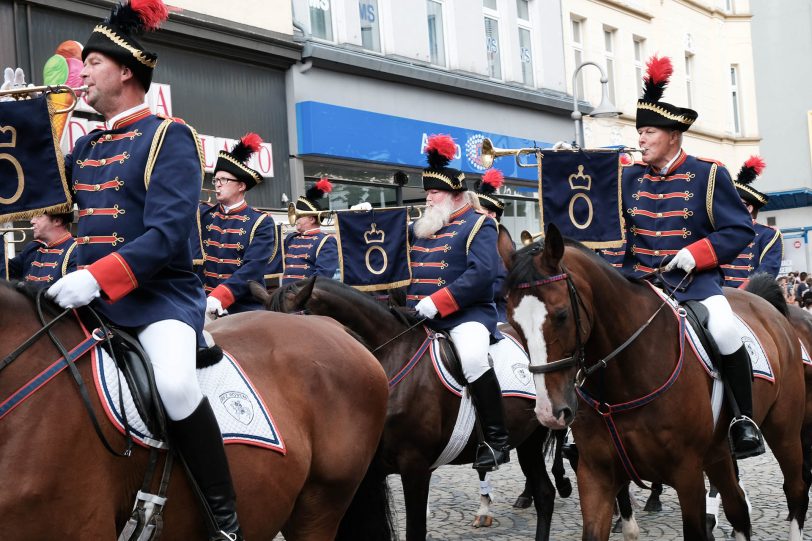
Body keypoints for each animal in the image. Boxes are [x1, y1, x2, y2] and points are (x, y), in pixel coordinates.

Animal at [254, 276, 572, 540]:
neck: (389, 358)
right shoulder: (367, 472)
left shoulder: (415, 467)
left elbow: (415, 531)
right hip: (528, 441)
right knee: (545, 494)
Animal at [498, 226, 808, 540]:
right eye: (512, 320)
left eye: (561, 315)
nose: (549, 412)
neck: (623, 379)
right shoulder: (595, 474)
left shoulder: (688, 473)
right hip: (719, 453)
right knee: (739, 509)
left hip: (784, 432)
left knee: (795, 490)